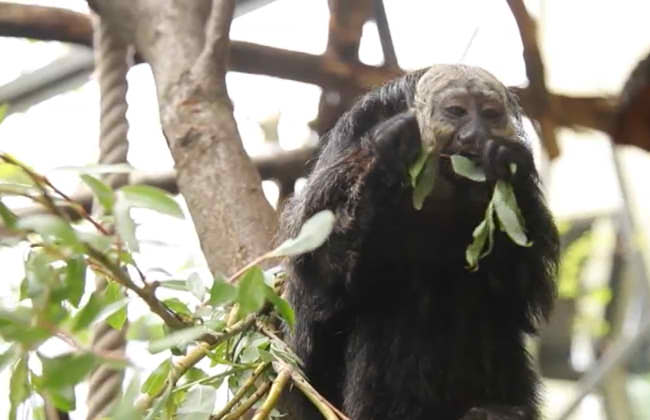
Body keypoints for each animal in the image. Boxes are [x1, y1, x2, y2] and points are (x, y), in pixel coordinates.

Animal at [281, 64, 559, 420]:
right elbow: (321, 286)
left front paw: (512, 166)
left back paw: (497, 410)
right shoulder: (340, 166)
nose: (474, 135)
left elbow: (516, 294)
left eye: (489, 115)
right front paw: (390, 151)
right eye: (457, 112)